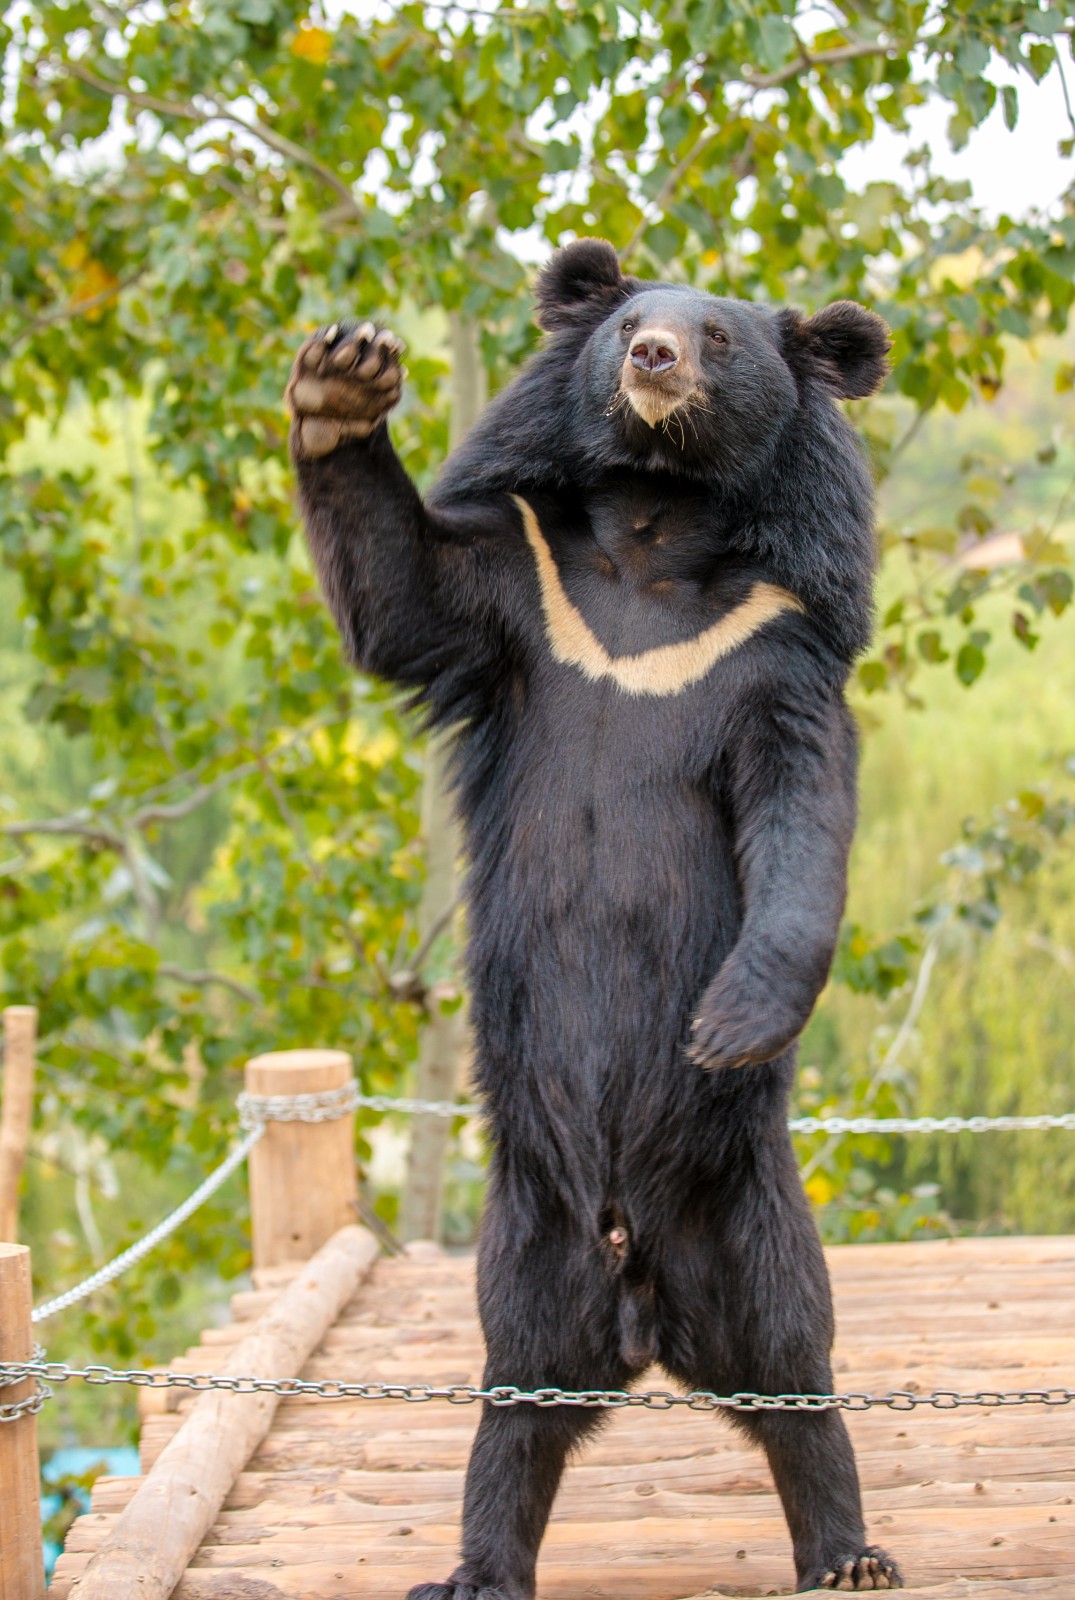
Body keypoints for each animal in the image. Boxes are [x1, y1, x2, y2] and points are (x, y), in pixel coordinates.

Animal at [284, 240, 895, 1600]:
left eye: (717, 338)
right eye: (625, 323)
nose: (653, 358)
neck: (655, 537)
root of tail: (643, 1304)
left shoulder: (774, 650)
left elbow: (801, 812)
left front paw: (728, 1021)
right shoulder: (527, 596)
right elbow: (403, 594)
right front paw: (344, 375)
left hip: (747, 1200)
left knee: (795, 1364)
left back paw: (846, 1554)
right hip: (525, 1225)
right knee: (515, 1396)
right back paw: (475, 1566)